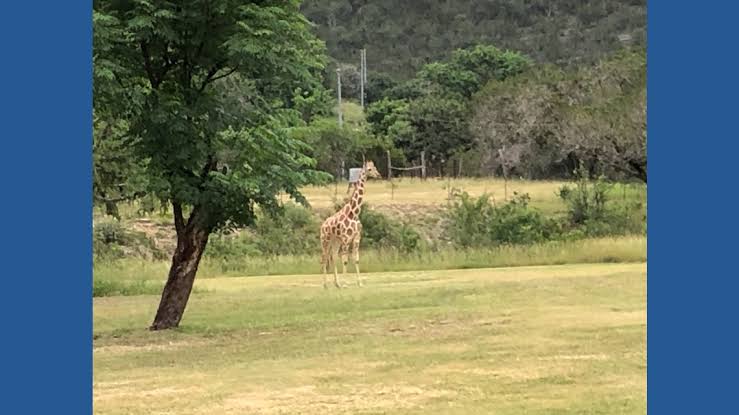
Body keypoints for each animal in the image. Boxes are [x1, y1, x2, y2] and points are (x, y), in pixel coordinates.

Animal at [320, 160, 382, 288]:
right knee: (324, 258)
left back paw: (337, 284)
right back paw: (325, 285)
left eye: (374, 167)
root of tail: (323, 225)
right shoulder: (346, 238)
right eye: (369, 169)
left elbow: (355, 259)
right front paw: (345, 284)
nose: (378, 175)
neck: (354, 213)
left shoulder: (356, 237)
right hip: (325, 240)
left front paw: (359, 283)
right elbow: (345, 260)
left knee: (333, 257)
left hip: (335, 241)